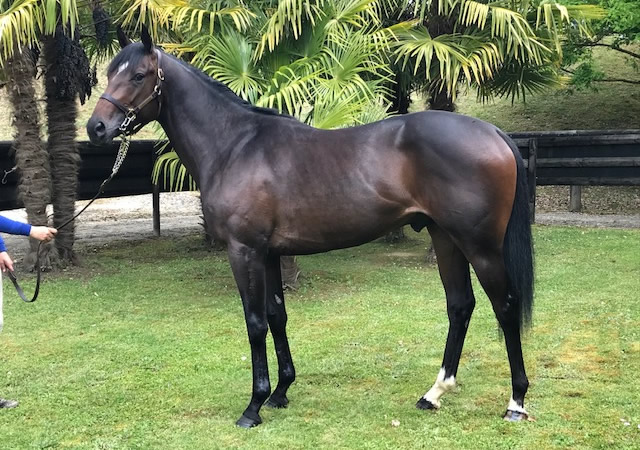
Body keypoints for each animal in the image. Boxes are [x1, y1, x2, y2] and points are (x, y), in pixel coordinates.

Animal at [87, 27, 534, 428]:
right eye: (109, 73)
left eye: (138, 75)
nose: (96, 128)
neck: (235, 145)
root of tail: (493, 132)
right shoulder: (269, 253)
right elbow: (276, 315)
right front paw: (281, 392)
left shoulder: (244, 250)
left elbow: (255, 322)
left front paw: (254, 406)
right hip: (445, 238)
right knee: (460, 305)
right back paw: (434, 393)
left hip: (480, 246)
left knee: (505, 306)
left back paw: (515, 402)